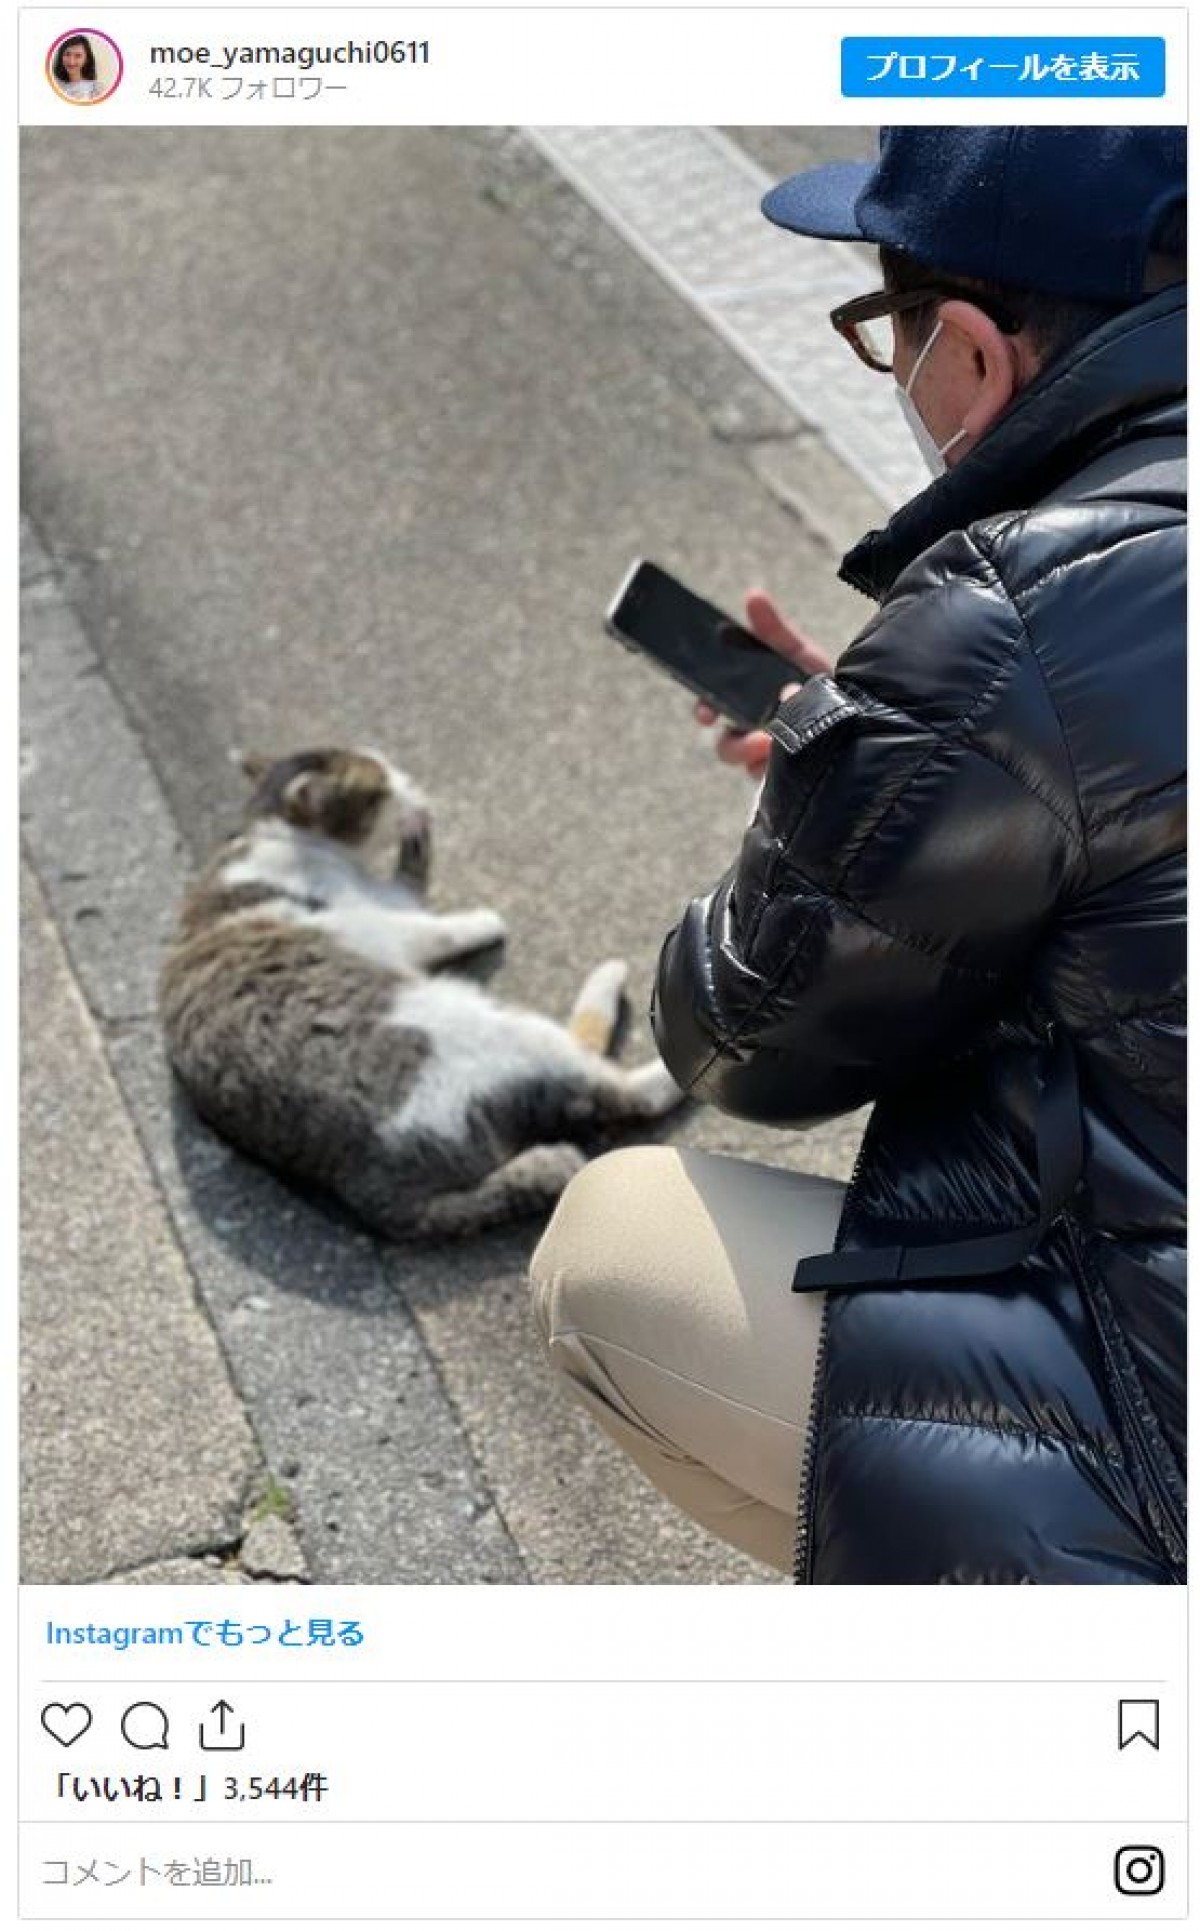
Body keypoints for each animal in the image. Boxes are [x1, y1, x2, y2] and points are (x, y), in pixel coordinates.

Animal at [160, 745, 684, 1243]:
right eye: (379, 786)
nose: (408, 781)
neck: (277, 836)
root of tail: (379, 1192)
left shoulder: (389, 897)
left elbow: (413, 878)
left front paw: (419, 827)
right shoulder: (379, 920)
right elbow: (434, 923)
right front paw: (479, 913)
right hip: (483, 1030)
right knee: (621, 1090)